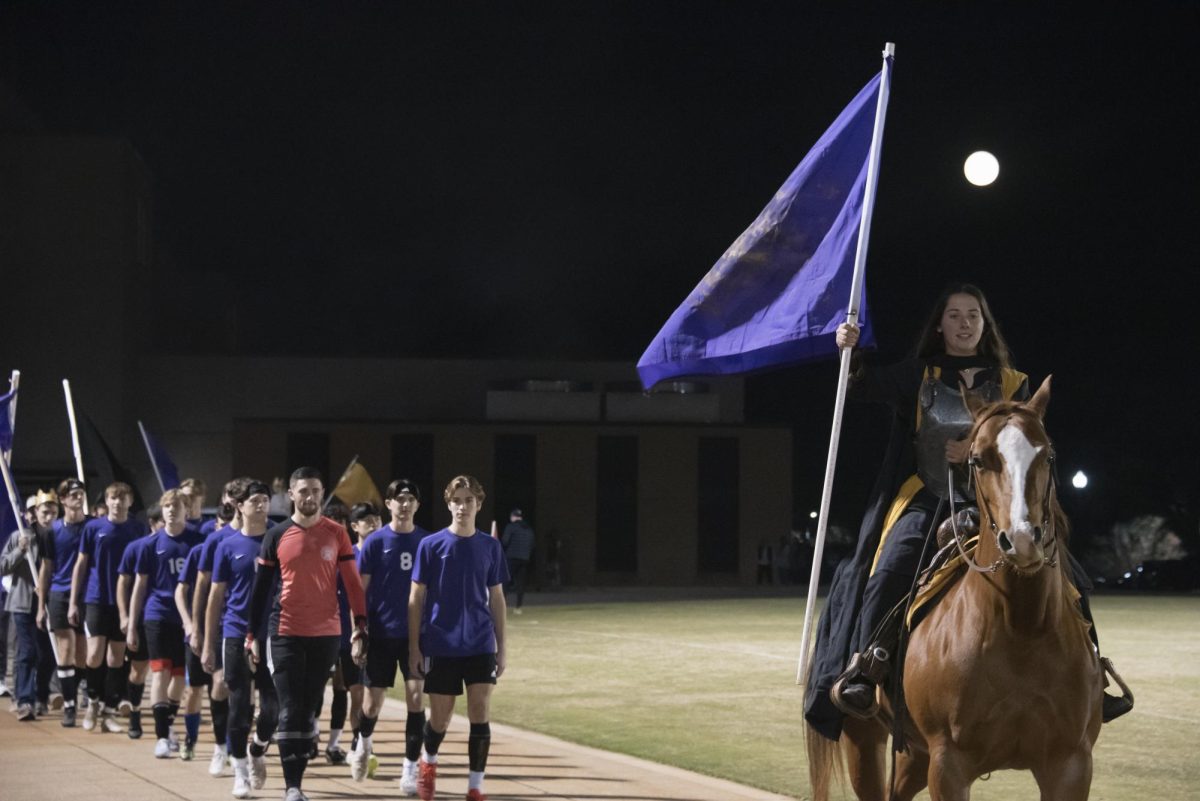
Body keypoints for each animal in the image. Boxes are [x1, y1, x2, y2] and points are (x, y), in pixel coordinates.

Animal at [811, 376, 1099, 801]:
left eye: (1047, 455)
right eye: (977, 460)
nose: (1022, 540)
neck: (1022, 628)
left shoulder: (1071, 764)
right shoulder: (949, 765)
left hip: (915, 754)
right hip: (863, 738)